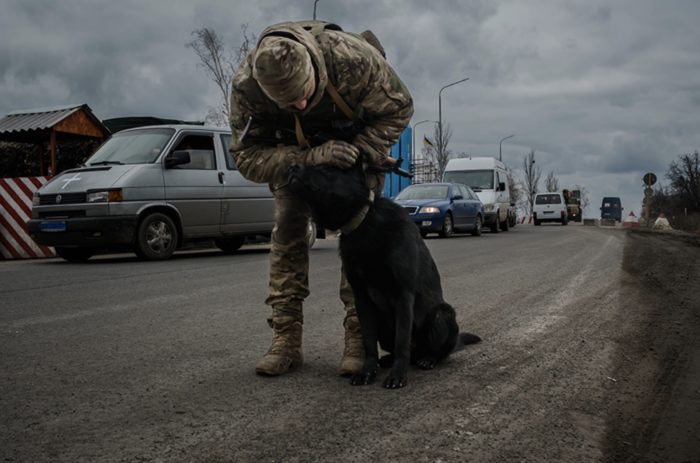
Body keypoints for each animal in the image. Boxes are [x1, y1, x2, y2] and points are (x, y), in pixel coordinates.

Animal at [288, 163, 478, 388]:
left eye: (326, 169)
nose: (292, 166)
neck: (364, 223)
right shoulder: (362, 300)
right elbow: (369, 343)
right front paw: (367, 371)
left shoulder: (404, 296)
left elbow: (402, 342)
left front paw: (398, 375)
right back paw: (387, 360)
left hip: (442, 314)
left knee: (434, 351)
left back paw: (428, 359)